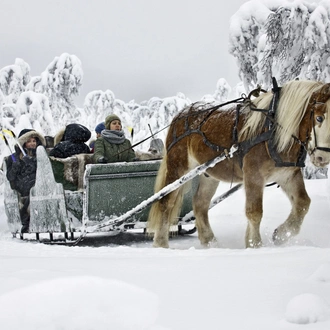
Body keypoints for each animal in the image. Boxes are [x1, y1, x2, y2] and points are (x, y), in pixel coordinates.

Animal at [147, 79, 330, 248]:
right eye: (319, 117)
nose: (323, 157)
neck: (273, 129)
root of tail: (181, 114)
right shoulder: (254, 176)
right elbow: (254, 212)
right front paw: (255, 245)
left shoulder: (287, 175)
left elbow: (303, 203)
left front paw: (281, 234)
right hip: (178, 168)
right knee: (166, 201)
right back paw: (161, 243)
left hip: (208, 174)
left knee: (200, 204)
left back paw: (210, 242)